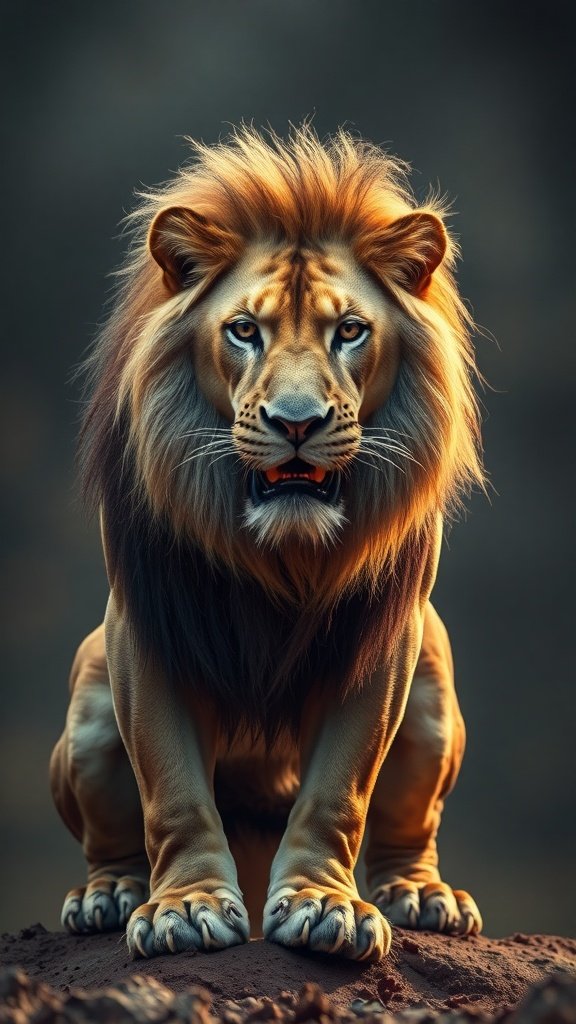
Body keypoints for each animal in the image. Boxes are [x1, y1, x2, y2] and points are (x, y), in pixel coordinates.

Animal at [50, 124, 485, 962]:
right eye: (244, 331)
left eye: (349, 331)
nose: (296, 423)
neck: (281, 553)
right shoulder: (147, 624)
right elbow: (172, 788)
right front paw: (184, 908)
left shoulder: (384, 642)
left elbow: (339, 794)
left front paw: (324, 905)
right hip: (86, 702)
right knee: (110, 837)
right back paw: (108, 894)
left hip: (436, 684)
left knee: (408, 828)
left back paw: (422, 894)